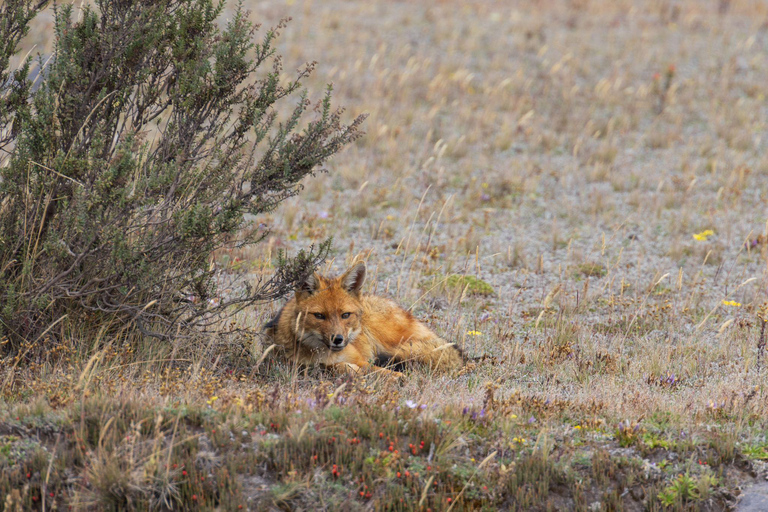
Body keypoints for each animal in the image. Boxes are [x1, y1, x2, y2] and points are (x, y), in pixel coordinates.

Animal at [264, 262, 462, 378]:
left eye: (345, 315)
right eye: (319, 316)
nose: (338, 339)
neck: (326, 354)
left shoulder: (362, 360)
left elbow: (378, 371)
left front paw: (395, 379)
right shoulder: (300, 366)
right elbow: (339, 367)